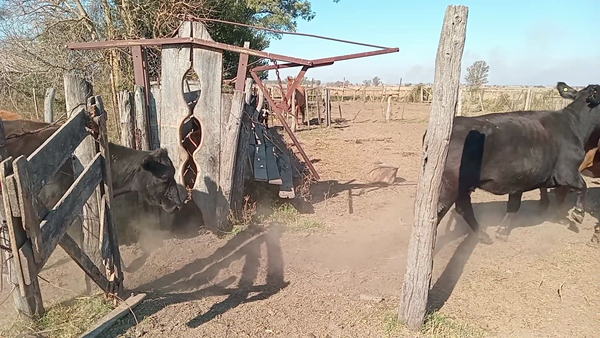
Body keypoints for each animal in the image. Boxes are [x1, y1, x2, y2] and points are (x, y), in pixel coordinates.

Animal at [428, 83, 600, 244]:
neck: (573, 124)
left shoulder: (519, 178)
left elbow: (514, 205)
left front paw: (502, 231)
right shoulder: (568, 172)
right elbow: (581, 187)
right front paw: (577, 213)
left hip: (463, 187)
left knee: (463, 208)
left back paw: (483, 236)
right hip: (450, 185)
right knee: (438, 212)